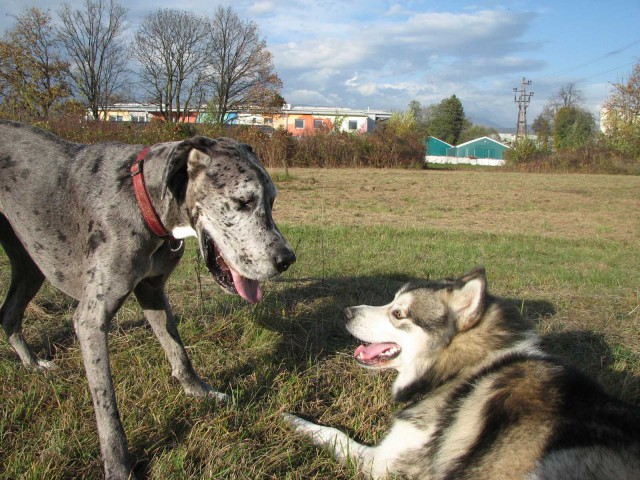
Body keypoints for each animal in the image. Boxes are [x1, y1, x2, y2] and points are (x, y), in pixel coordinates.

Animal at [0, 119, 296, 476]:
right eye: (243, 201)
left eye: (272, 201)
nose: (287, 259)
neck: (142, 201)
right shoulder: (91, 320)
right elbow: (106, 404)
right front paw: (117, 465)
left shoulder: (153, 292)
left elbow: (179, 351)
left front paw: (200, 392)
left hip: (29, 268)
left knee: (8, 314)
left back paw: (32, 363)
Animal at [284, 268, 640, 478]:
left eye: (398, 313)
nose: (345, 312)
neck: (462, 371)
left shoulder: (385, 464)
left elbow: (334, 434)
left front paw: (294, 421)